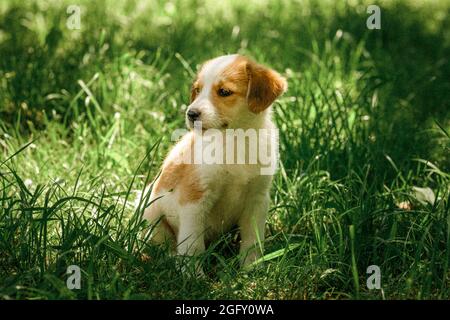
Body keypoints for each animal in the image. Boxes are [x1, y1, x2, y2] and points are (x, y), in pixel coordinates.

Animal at [142, 54, 286, 268]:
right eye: (197, 90)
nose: (191, 114)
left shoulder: (258, 198)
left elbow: (253, 240)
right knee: (162, 246)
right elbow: (192, 246)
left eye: (224, 92)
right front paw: (192, 273)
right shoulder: (195, 199)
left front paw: (251, 269)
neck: (235, 139)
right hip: (149, 211)